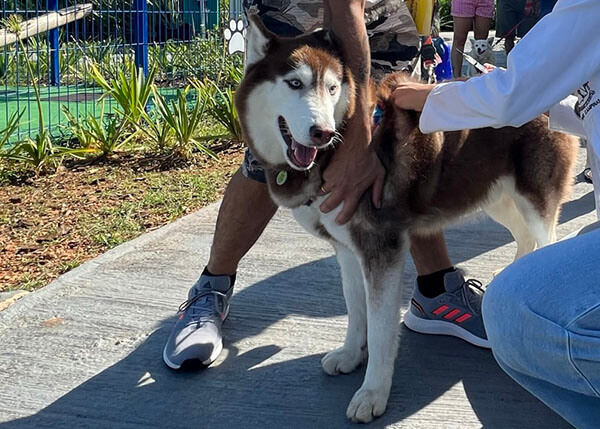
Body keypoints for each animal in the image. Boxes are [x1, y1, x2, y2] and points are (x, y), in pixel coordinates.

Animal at [237, 15, 580, 422]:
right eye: (294, 83)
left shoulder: (382, 250)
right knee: (525, 237)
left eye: (332, 88)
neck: (336, 153)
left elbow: (381, 330)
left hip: (534, 201)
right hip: (496, 198)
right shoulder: (346, 249)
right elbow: (355, 309)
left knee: (545, 240)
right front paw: (350, 354)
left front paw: (372, 392)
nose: (322, 132)